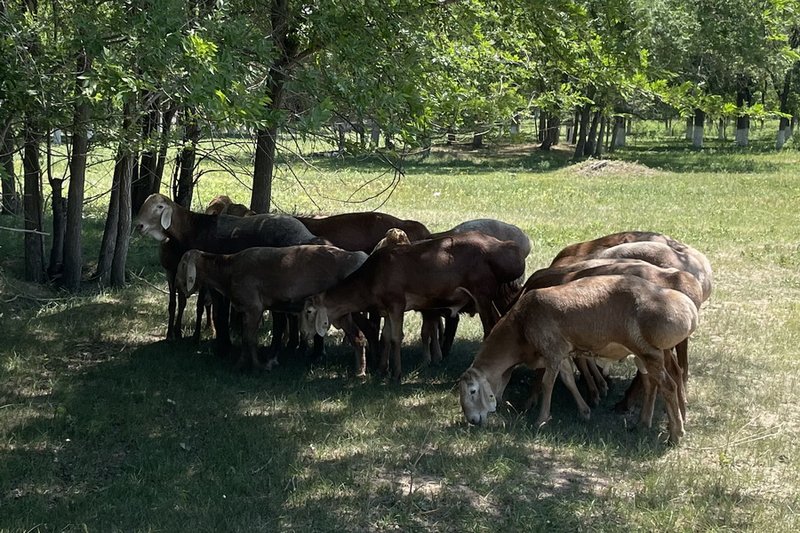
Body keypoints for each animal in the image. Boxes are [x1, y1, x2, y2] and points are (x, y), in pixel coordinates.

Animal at [134, 193, 318, 352]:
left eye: (159, 207)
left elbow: (215, 310)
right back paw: (293, 346)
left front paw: (217, 343)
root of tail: (307, 237)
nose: (139, 226)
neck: (193, 228)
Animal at [177, 245, 368, 370]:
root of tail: (359, 257)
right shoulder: (248, 310)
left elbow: (249, 339)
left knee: (358, 335)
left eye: (183, 265)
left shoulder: (254, 307)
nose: (177, 284)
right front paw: (243, 363)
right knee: (358, 336)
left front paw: (255, 366)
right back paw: (359, 371)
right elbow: (247, 338)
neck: (228, 270)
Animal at [300, 231, 524, 380]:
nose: (304, 333)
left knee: (490, 328)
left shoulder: (396, 303)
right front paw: (382, 369)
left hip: (481, 294)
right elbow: (386, 336)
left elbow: (396, 337)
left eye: (309, 311)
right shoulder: (386, 308)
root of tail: (505, 247)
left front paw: (396, 373)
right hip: (489, 298)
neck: (372, 277)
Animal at [460, 274, 696, 444]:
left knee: (668, 385)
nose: (472, 420)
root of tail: (689, 311)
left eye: (472, 391)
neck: (520, 326)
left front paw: (541, 420)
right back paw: (644, 424)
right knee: (653, 382)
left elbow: (547, 383)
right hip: (647, 353)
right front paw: (585, 411)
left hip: (649, 351)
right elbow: (568, 380)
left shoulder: (552, 351)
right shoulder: (563, 353)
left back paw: (676, 434)